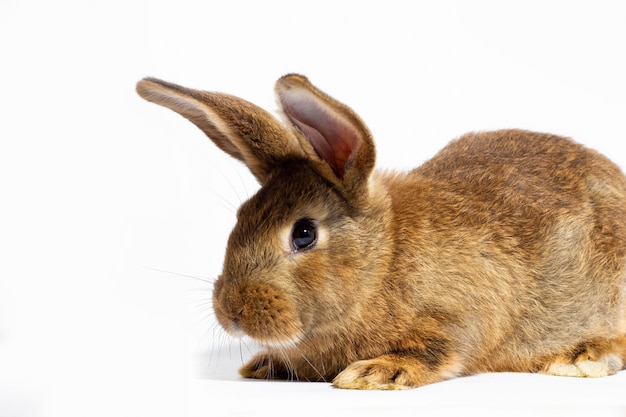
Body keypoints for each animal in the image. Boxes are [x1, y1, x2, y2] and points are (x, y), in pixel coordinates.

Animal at [135, 73, 624, 388]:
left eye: (304, 233)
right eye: (240, 217)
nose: (231, 311)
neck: (383, 261)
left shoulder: (466, 313)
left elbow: (441, 348)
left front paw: (376, 372)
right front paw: (265, 365)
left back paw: (580, 360)